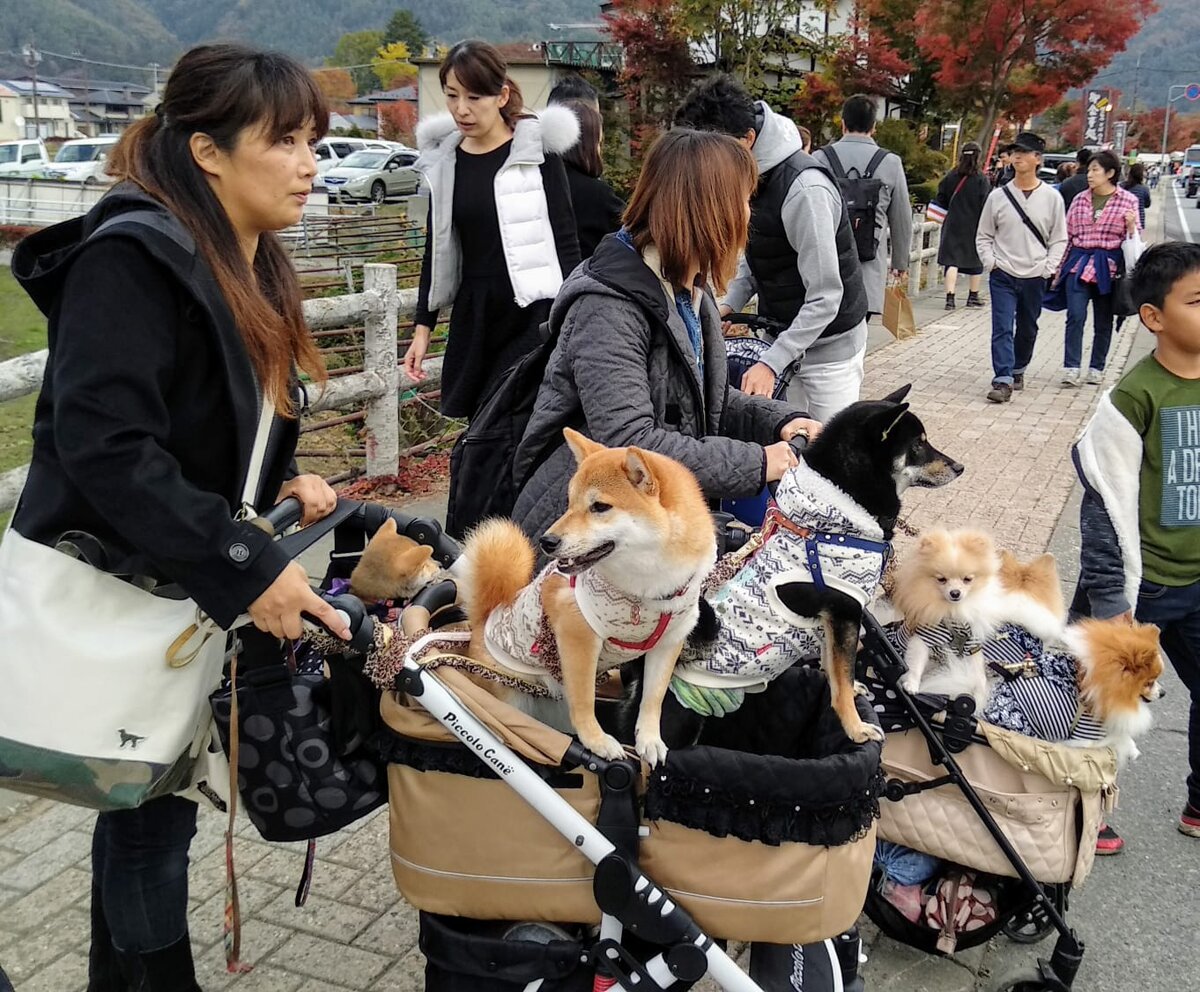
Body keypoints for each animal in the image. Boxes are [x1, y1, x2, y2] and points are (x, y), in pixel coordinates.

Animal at [458, 429, 715, 767]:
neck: (647, 591)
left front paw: (649, 740)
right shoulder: (577, 635)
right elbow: (583, 702)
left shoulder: (671, 640)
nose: (547, 541)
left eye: (600, 507)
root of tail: (482, 622)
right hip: (509, 693)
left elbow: (653, 699)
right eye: (569, 503)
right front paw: (597, 743)